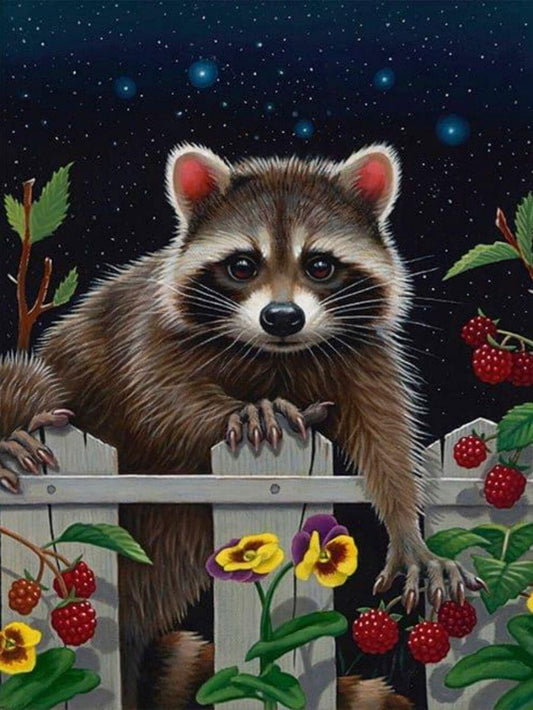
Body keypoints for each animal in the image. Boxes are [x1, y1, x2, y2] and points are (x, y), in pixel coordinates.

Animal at [0, 143, 483, 709]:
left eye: (320, 265)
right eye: (242, 265)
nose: (282, 317)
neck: (277, 353)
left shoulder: (359, 352)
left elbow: (386, 436)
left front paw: (408, 528)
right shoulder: (150, 330)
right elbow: (158, 399)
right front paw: (242, 410)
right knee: (27, 380)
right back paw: (17, 433)